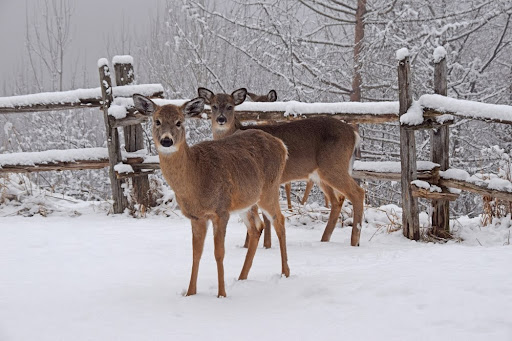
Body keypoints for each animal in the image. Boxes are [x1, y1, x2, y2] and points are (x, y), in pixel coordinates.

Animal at [133, 93, 292, 298]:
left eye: (179, 122)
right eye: (157, 121)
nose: (166, 140)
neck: (197, 177)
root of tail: (282, 145)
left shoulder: (221, 210)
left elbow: (219, 252)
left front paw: (221, 294)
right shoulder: (196, 217)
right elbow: (196, 253)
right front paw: (190, 293)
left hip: (269, 189)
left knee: (279, 220)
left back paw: (285, 272)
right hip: (245, 202)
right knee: (256, 227)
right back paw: (242, 277)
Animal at [196, 87, 364, 247]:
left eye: (230, 106)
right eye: (213, 106)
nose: (221, 119)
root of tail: (354, 134)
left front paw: (265, 245)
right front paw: (250, 245)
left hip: (333, 165)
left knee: (357, 192)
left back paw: (354, 240)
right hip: (319, 174)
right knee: (338, 199)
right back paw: (324, 239)